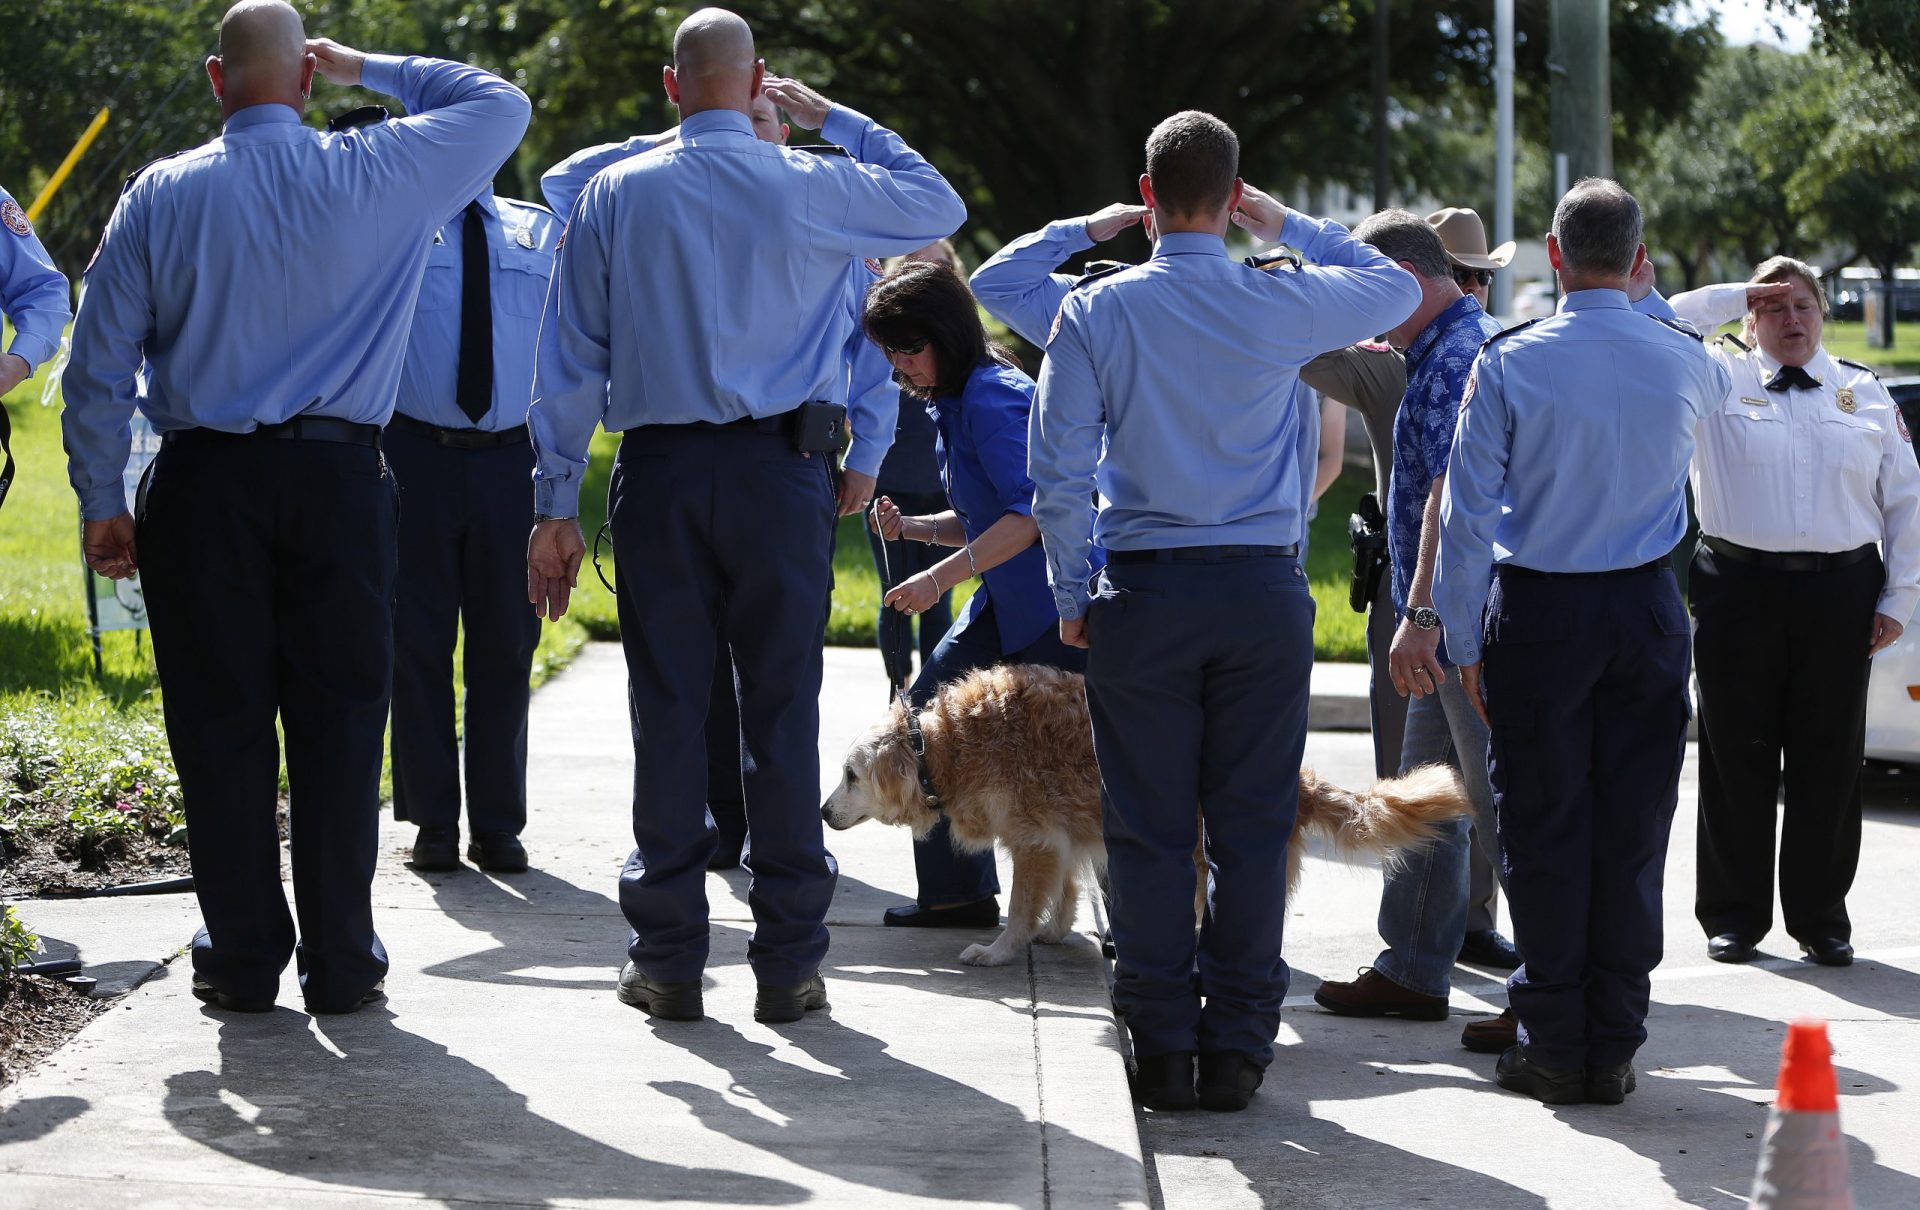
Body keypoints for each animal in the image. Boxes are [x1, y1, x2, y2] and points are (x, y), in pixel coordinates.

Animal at [821, 664, 1466, 968]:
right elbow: (1066, 890)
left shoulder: (1034, 840)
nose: (823, 812)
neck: (942, 748)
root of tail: (1298, 780)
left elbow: (1022, 907)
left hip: (1203, 859)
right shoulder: (1059, 840)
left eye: (850, 775)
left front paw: (1001, 950)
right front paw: (1056, 932)